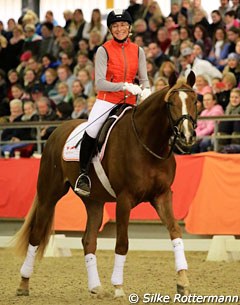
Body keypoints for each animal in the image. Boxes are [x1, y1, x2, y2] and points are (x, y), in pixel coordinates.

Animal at [13, 70, 197, 296]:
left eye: (195, 101)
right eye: (171, 103)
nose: (187, 136)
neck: (147, 144)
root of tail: (57, 130)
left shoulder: (162, 196)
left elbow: (175, 233)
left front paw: (183, 281)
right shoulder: (124, 199)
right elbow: (122, 243)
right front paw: (118, 287)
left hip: (94, 202)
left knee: (88, 240)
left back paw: (95, 287)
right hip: (49, 195)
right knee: (36, 236)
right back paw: (23, 284)